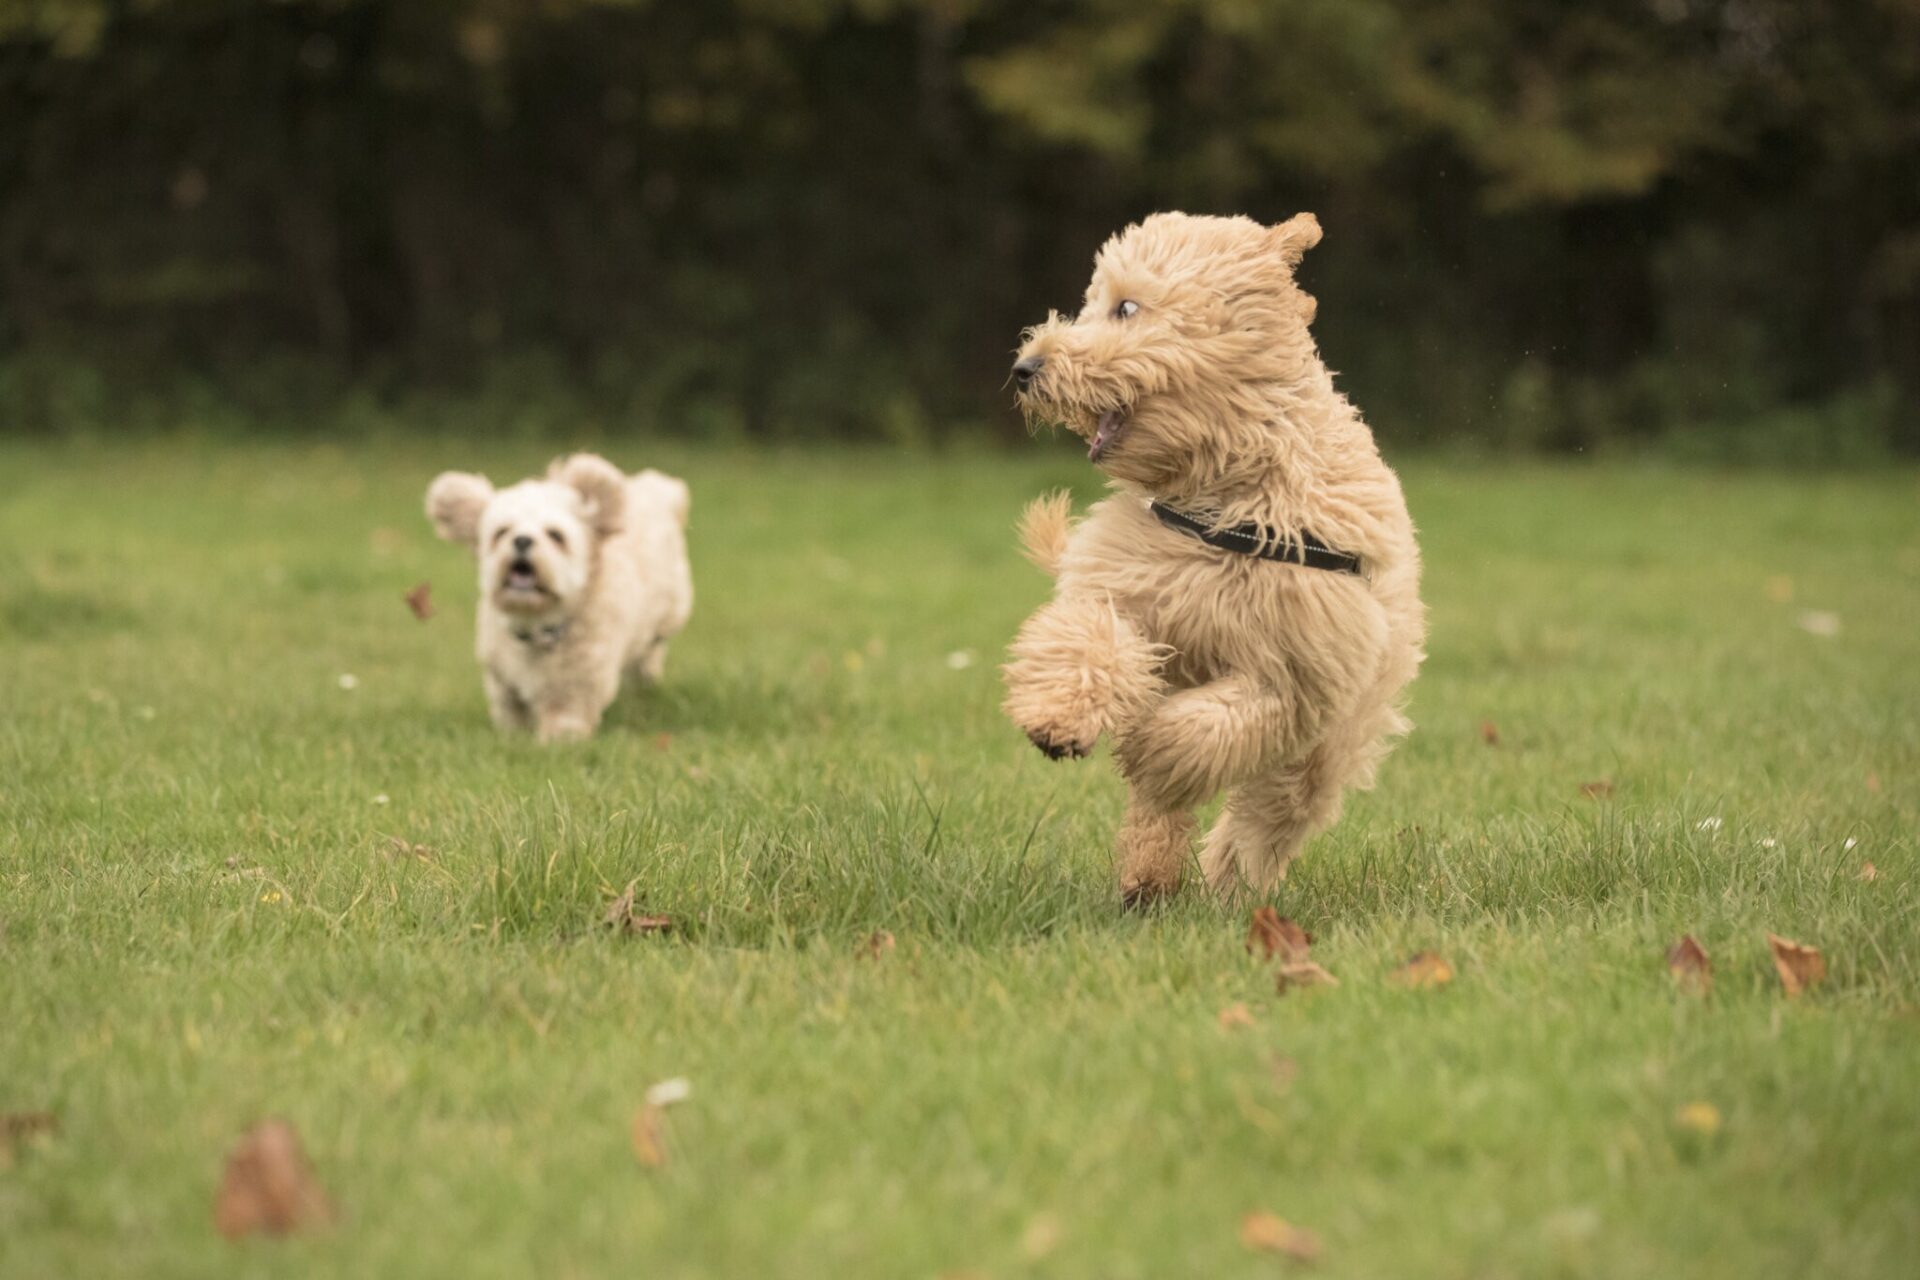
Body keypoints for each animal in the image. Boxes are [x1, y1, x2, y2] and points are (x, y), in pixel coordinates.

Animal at [426, 458, 691, 740]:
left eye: (555, 535)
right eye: (502, 532)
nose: (522, 540)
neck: (538, 623)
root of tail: (653, 488)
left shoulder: (577, 684)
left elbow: (565, 717)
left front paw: (556, 740)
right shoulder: (501, 678)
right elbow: (512, 709)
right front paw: (515, 737)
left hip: (667, 615)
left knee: (650, 650)